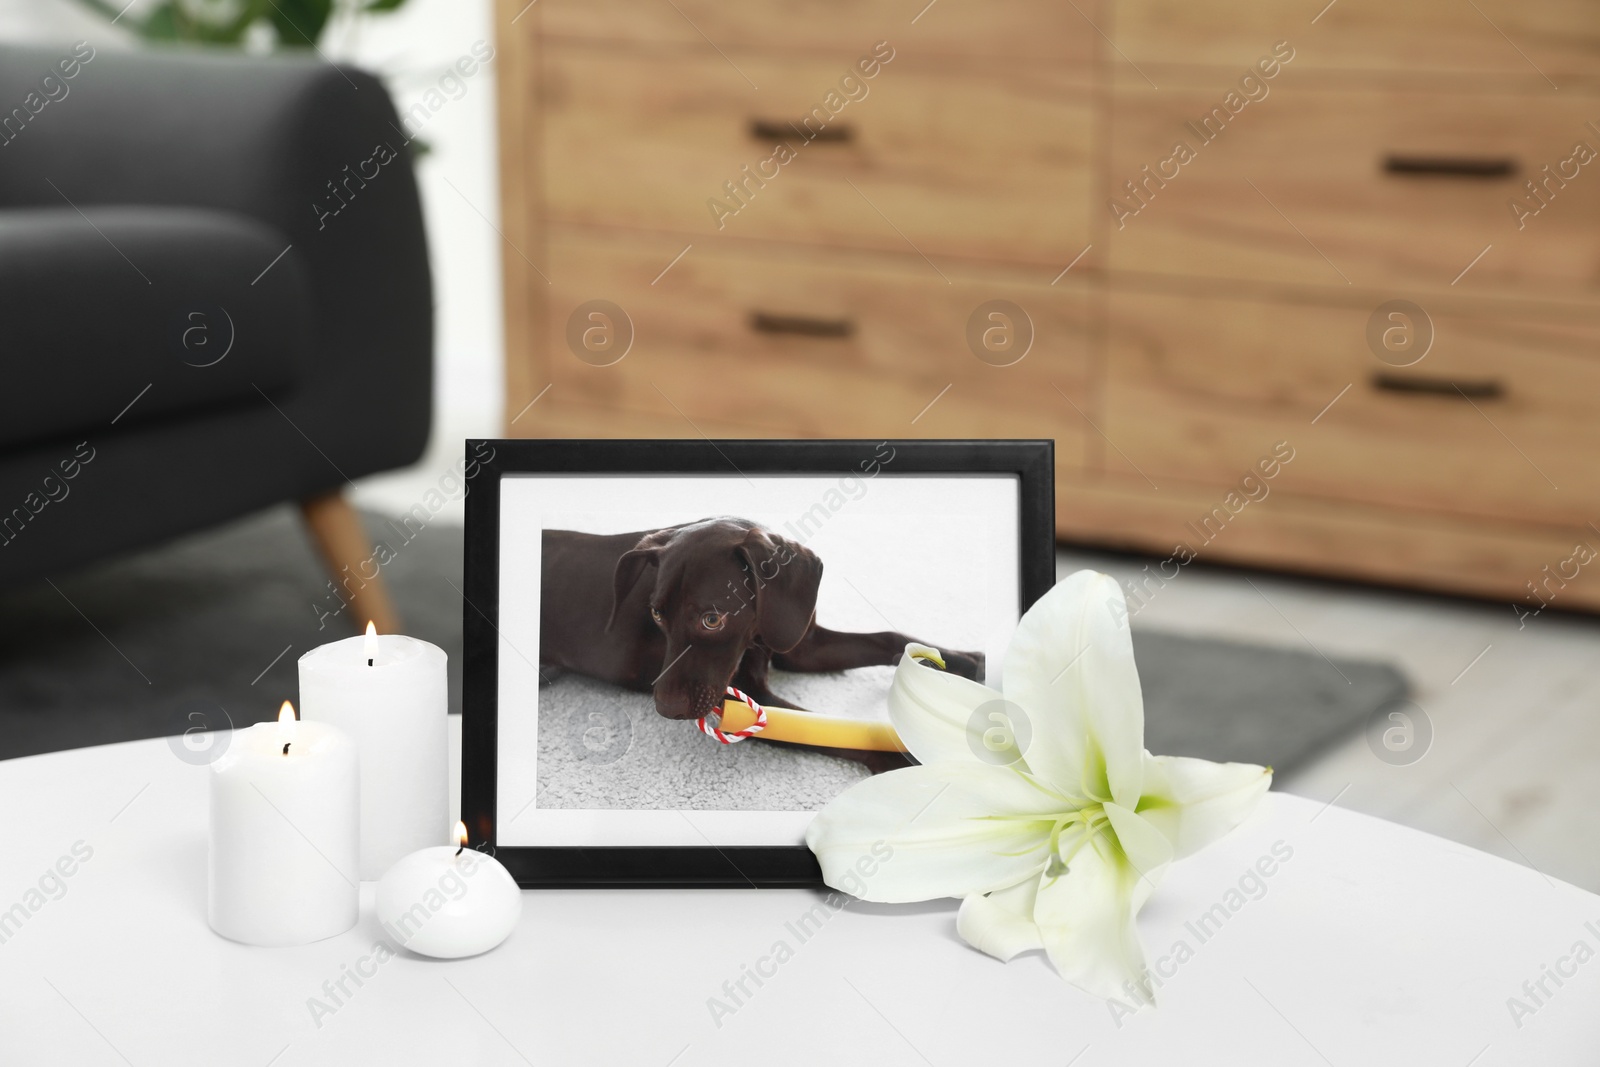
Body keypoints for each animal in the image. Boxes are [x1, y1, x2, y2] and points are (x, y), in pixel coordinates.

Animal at [540, 518, 985, 767]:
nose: (665, 709)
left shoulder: (801, 646)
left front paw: (967, 661)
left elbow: (889, 638)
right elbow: (831, 731)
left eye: (712, 619)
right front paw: (907, 761)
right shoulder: (748, 697)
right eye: (657, 615)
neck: (755, 632)